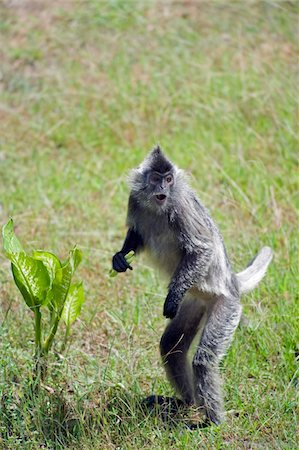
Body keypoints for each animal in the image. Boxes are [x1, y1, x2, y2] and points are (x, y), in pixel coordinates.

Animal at [111, 147, 274, 426]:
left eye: (169, 179)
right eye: (156, 178)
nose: (163, 187)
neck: (158, 207)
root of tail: (231, 282)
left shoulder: (181, 207)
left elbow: (201, 250)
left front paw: (172, 296)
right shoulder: (134, 199)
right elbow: (137, 235)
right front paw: (120, 256)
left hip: (226, 306)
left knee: (203, 360)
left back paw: (212, 423)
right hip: (194, 303)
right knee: (171, 347)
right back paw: (185, 403)